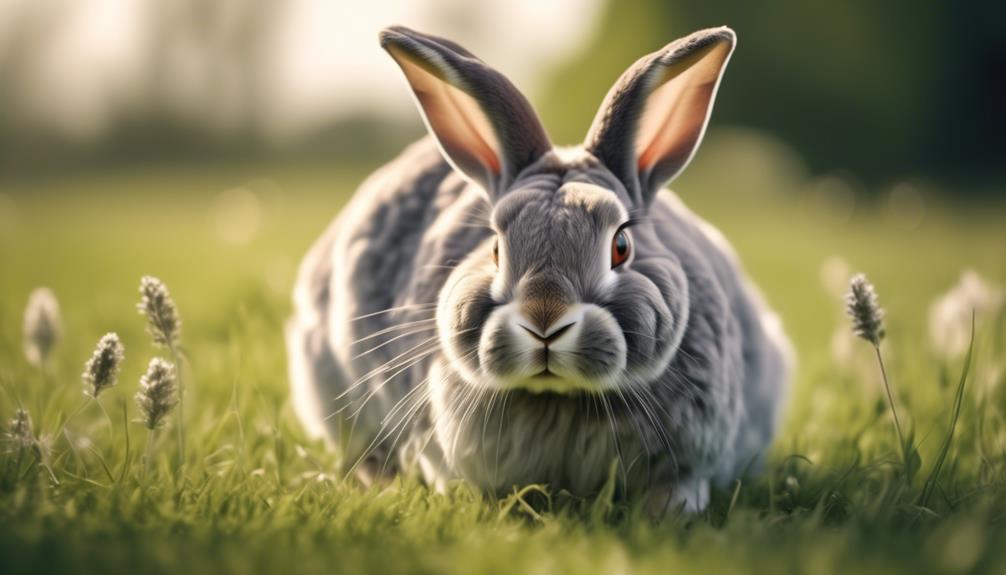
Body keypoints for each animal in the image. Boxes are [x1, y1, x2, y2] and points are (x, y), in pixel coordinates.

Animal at [285, 24, 792, 514]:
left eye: (621, 246)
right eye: (494, 248)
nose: (544, 321)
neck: (560, 400)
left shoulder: (690, 458)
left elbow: (678, 487)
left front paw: (671, 512)